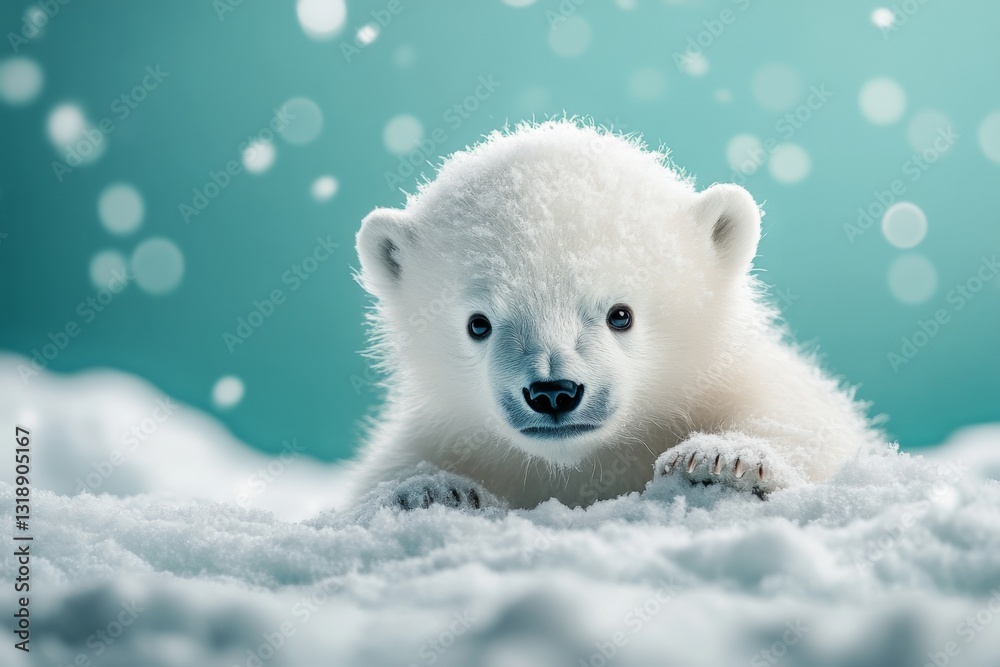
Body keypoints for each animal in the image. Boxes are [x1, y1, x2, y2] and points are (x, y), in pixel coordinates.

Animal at [348, 119, 882, 511]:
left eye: (620, 314)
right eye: (478, 323)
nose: (554, 391)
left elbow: (807, 423)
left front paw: (725, 458)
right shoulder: (442, 431)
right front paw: (430, 489)